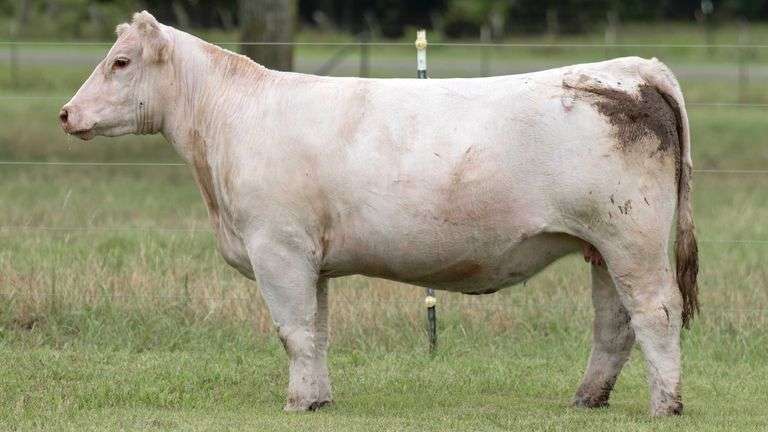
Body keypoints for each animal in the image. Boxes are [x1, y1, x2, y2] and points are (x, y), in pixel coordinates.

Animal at [59, 11, 698, 416]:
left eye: (120, 62)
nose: (67, 114)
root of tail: (634, 68)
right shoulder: (308, 257)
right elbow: (316, 332)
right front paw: (317, 398)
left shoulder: (277, 247)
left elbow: (293, 330)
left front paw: (296, 401)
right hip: (603, 246)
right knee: (614, 323)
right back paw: (588, 398)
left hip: (631, 237)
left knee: (656, 312)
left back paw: (665, 405)